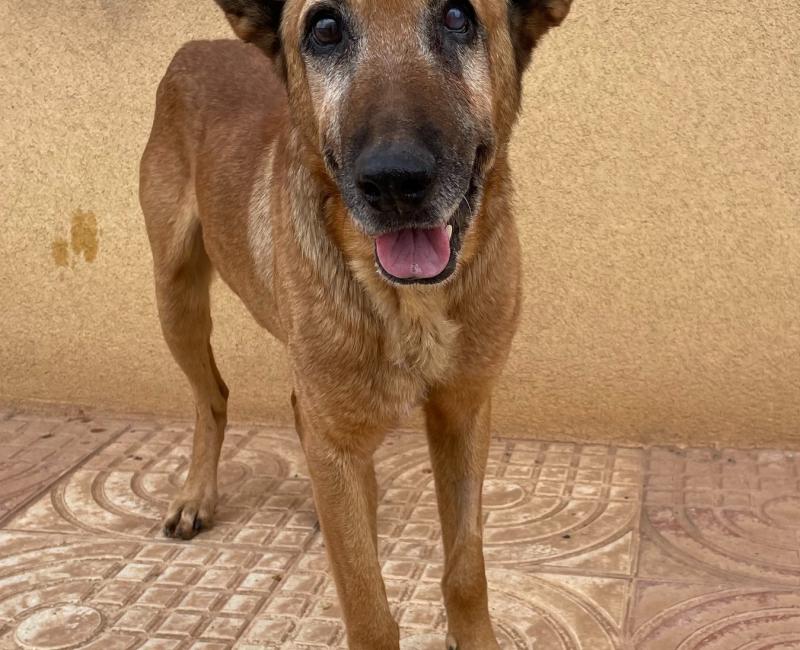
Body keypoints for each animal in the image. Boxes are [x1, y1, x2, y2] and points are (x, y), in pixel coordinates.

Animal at [139, 1, 572, 647]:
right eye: (324, 28)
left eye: (457, 16)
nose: (394, 181)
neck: (410, 303)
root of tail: (196, 46)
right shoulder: (337, 439)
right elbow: (368, 608)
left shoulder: (464, 411)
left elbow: (466, 567)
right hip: (176, 300)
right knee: (212, 396)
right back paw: (197, 495)